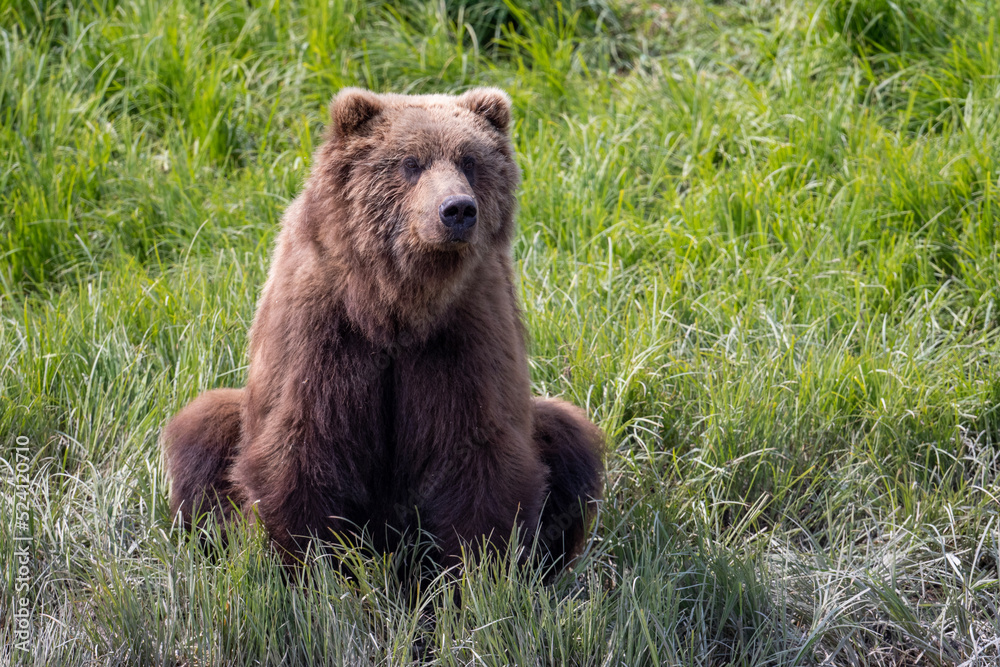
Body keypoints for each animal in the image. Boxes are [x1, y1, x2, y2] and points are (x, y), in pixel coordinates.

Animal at [161, 87, 604, 577]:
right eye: (410, 162)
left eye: (469, 160)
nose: (457, 210)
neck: (395, 303)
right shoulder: (323, 324)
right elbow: (304, 440)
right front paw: (304, 569)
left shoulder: (467, 326)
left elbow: (478, 447)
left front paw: (473, 573)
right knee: (204, 428)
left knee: (568, 437)